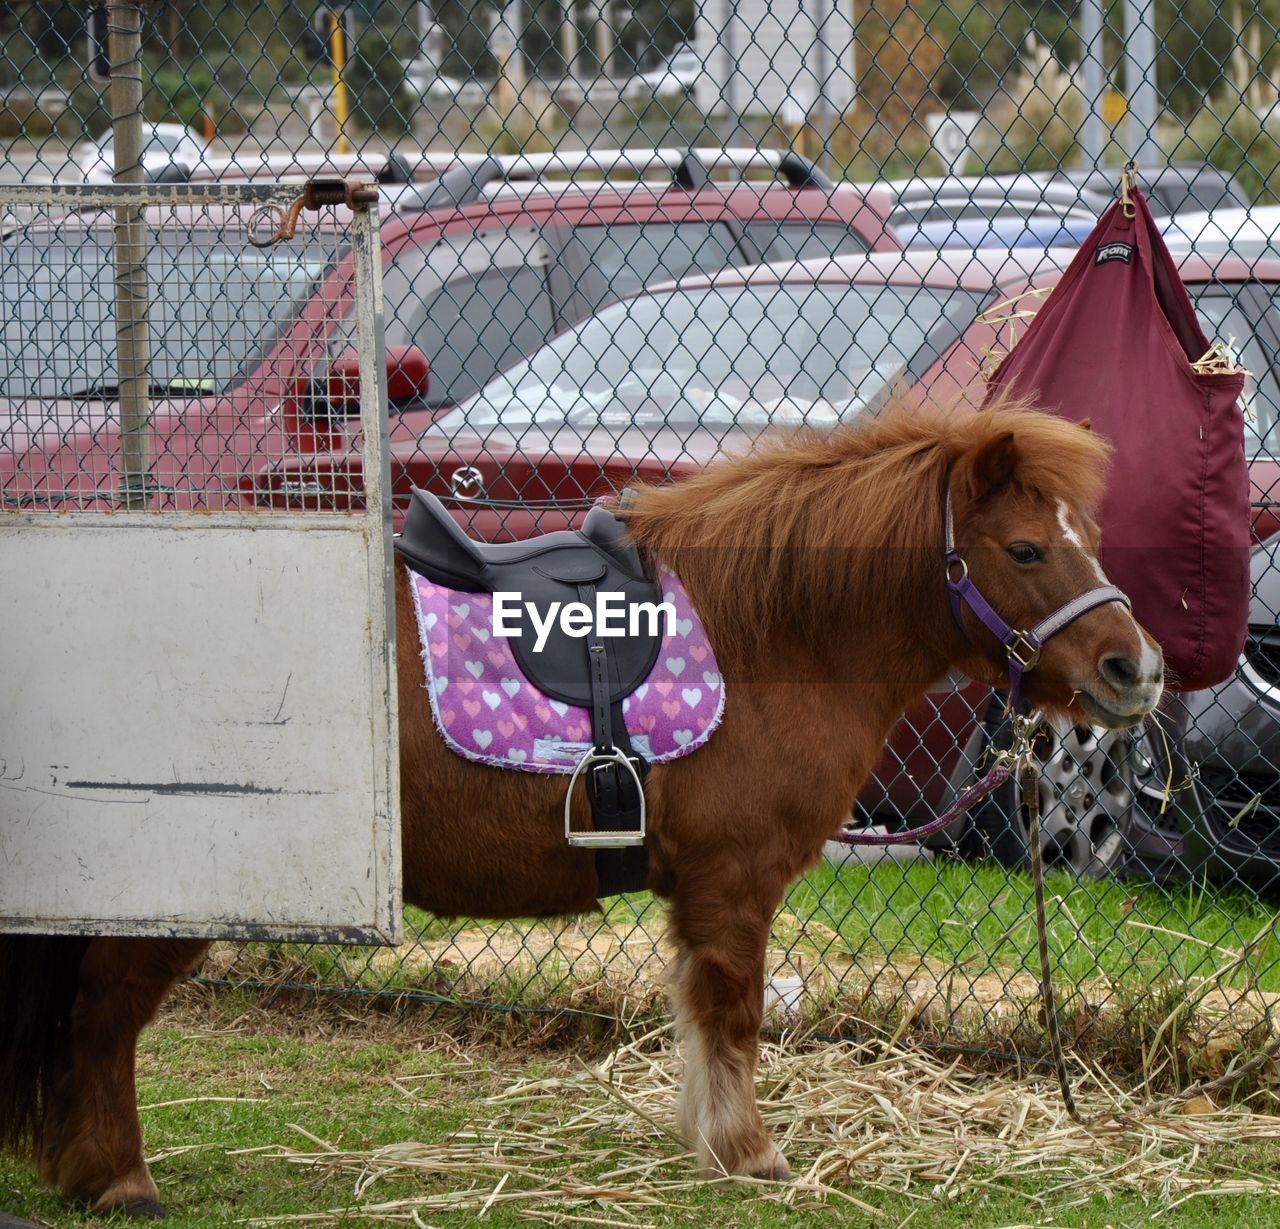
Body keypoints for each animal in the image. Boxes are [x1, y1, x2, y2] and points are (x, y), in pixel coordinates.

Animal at [0, 399, 1162, 1213]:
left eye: (1083, 535)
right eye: (1024, 548)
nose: (1136, 669)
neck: (772, 627)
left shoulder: (698, 891)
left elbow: (700, 1017)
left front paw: (706, 1140)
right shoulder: (732, 882)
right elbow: (735, 1016)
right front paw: (747, 1152)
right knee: (103, 1016)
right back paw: (120, 1178)